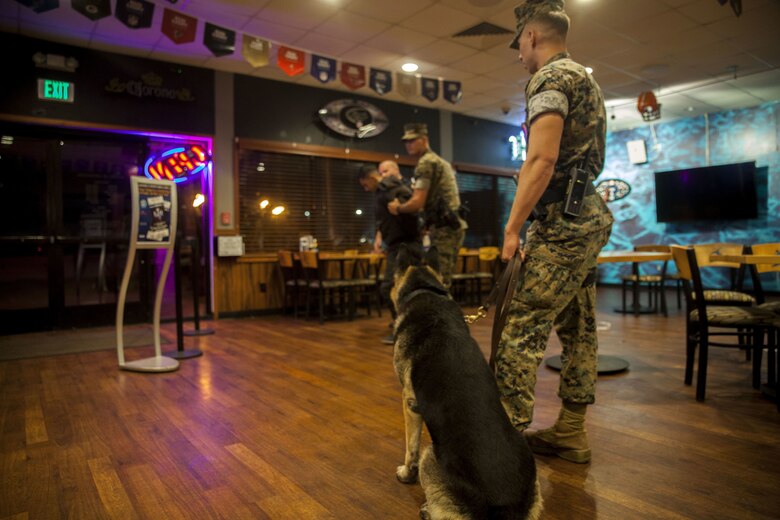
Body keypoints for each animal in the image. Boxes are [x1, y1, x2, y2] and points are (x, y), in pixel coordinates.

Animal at [390, 245, 544, 520]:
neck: (426, 291)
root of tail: (504, 507)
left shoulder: (409, 404)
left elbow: (411, 448)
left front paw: (406, 474)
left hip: (431, 455)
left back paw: (427, 509)